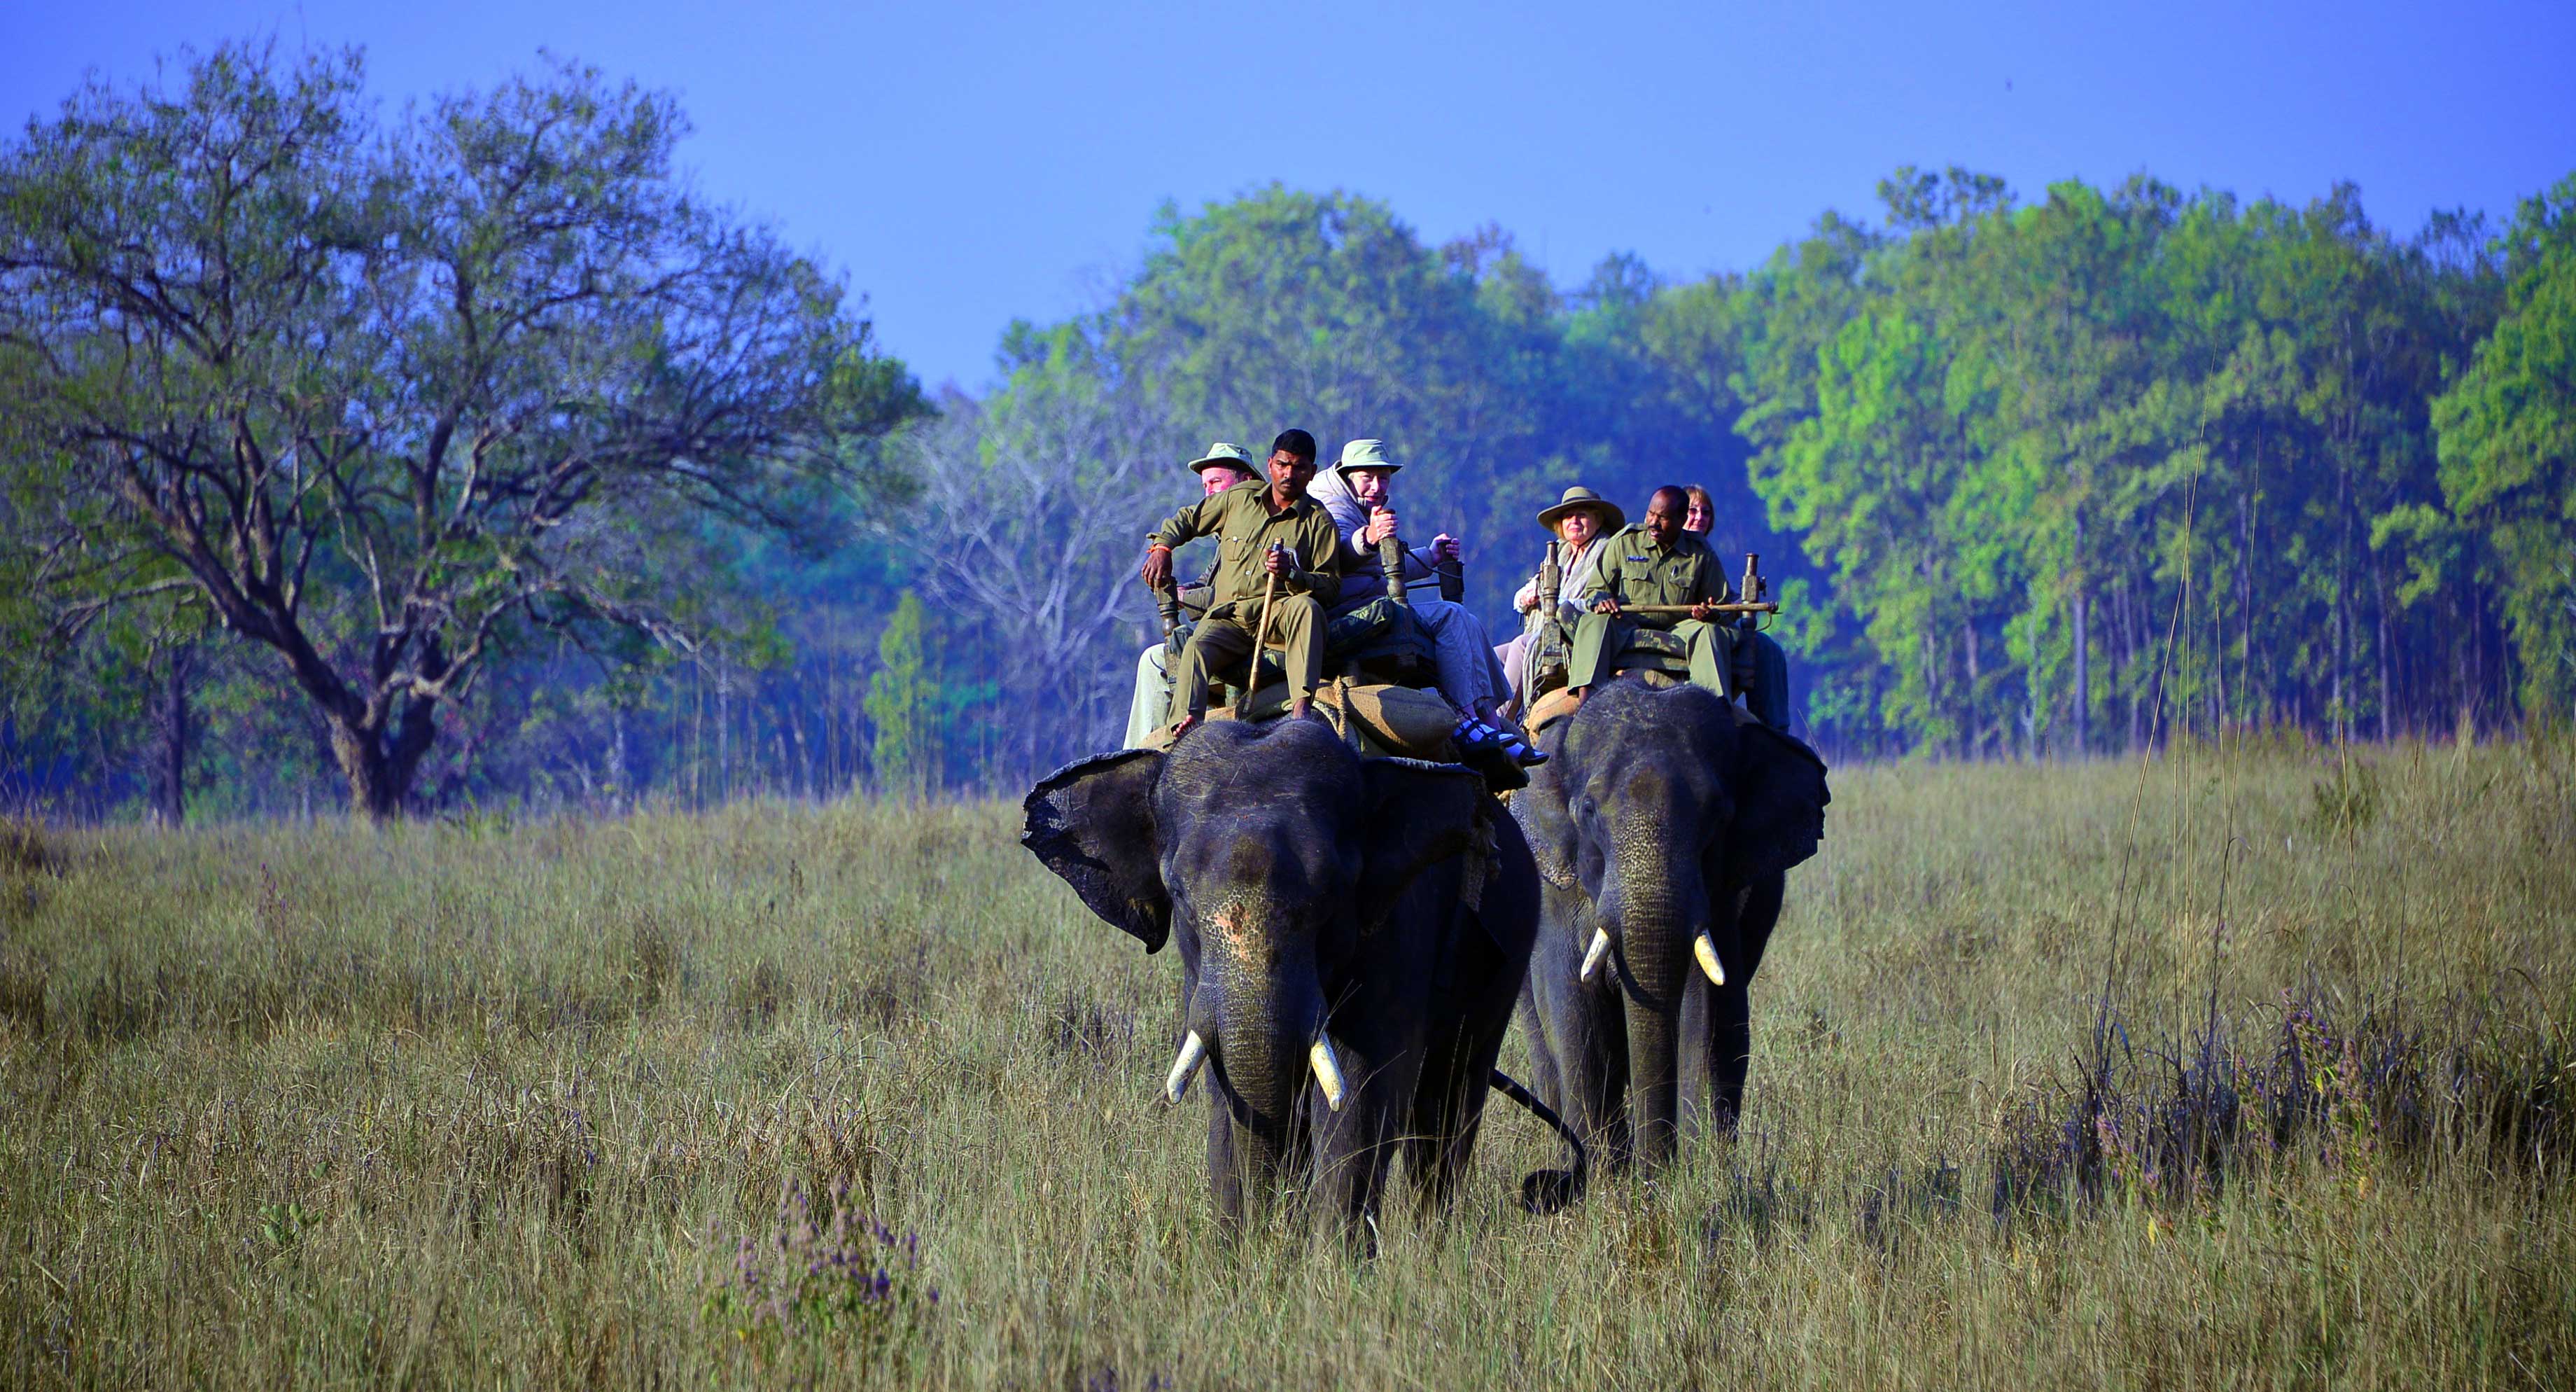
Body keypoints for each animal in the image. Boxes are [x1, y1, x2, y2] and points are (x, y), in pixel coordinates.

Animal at [1014, 716, 1576, 1237]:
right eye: (1177, 895)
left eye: (1333, 890)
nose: (1274, 1234)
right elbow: (1224, 1091)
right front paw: (1248, 1256)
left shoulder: (1398, 926)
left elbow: (1363, 1093)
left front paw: (1332, 1268)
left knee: (1449, 1097)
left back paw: (1432, 1241)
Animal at [1504, 675, 1834, 1175]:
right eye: (1588, 811)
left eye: (1719, 814)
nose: (1654, 1169)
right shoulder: (1554, 891)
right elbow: (1573, 1012)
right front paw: (1608, 1180)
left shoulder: (1723, 892)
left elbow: (1711, 1014)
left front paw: (1698, 1176)